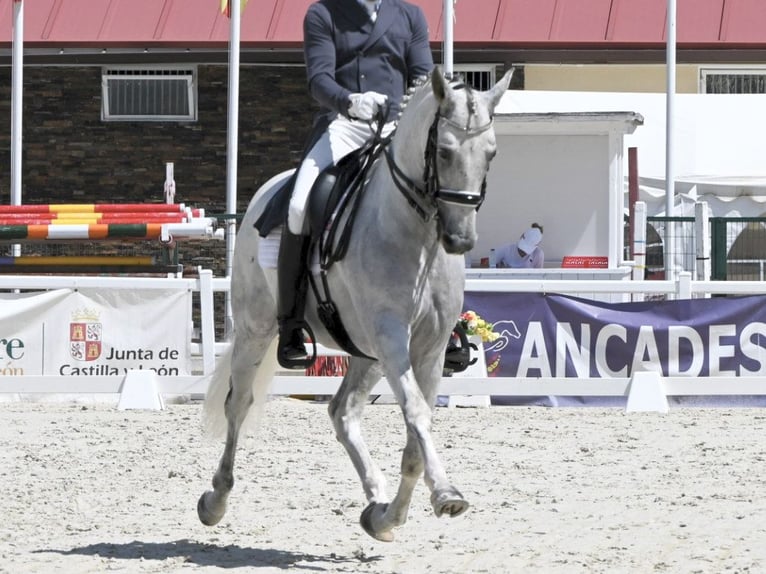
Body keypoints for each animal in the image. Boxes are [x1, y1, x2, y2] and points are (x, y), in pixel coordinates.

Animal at [198, 67, 512, 544]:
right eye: (443, 150)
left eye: (491, 153)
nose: (460, 240)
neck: (418, 236)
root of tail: (265, 193)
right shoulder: (392, 337)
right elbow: (417, 414)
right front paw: (446, 493)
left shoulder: (430, 349)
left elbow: (415, 438)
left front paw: (392, 517)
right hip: (258, 329)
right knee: (239, 404)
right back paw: (215, 499)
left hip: (366, 351)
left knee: (342, 411)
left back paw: (375, 503)